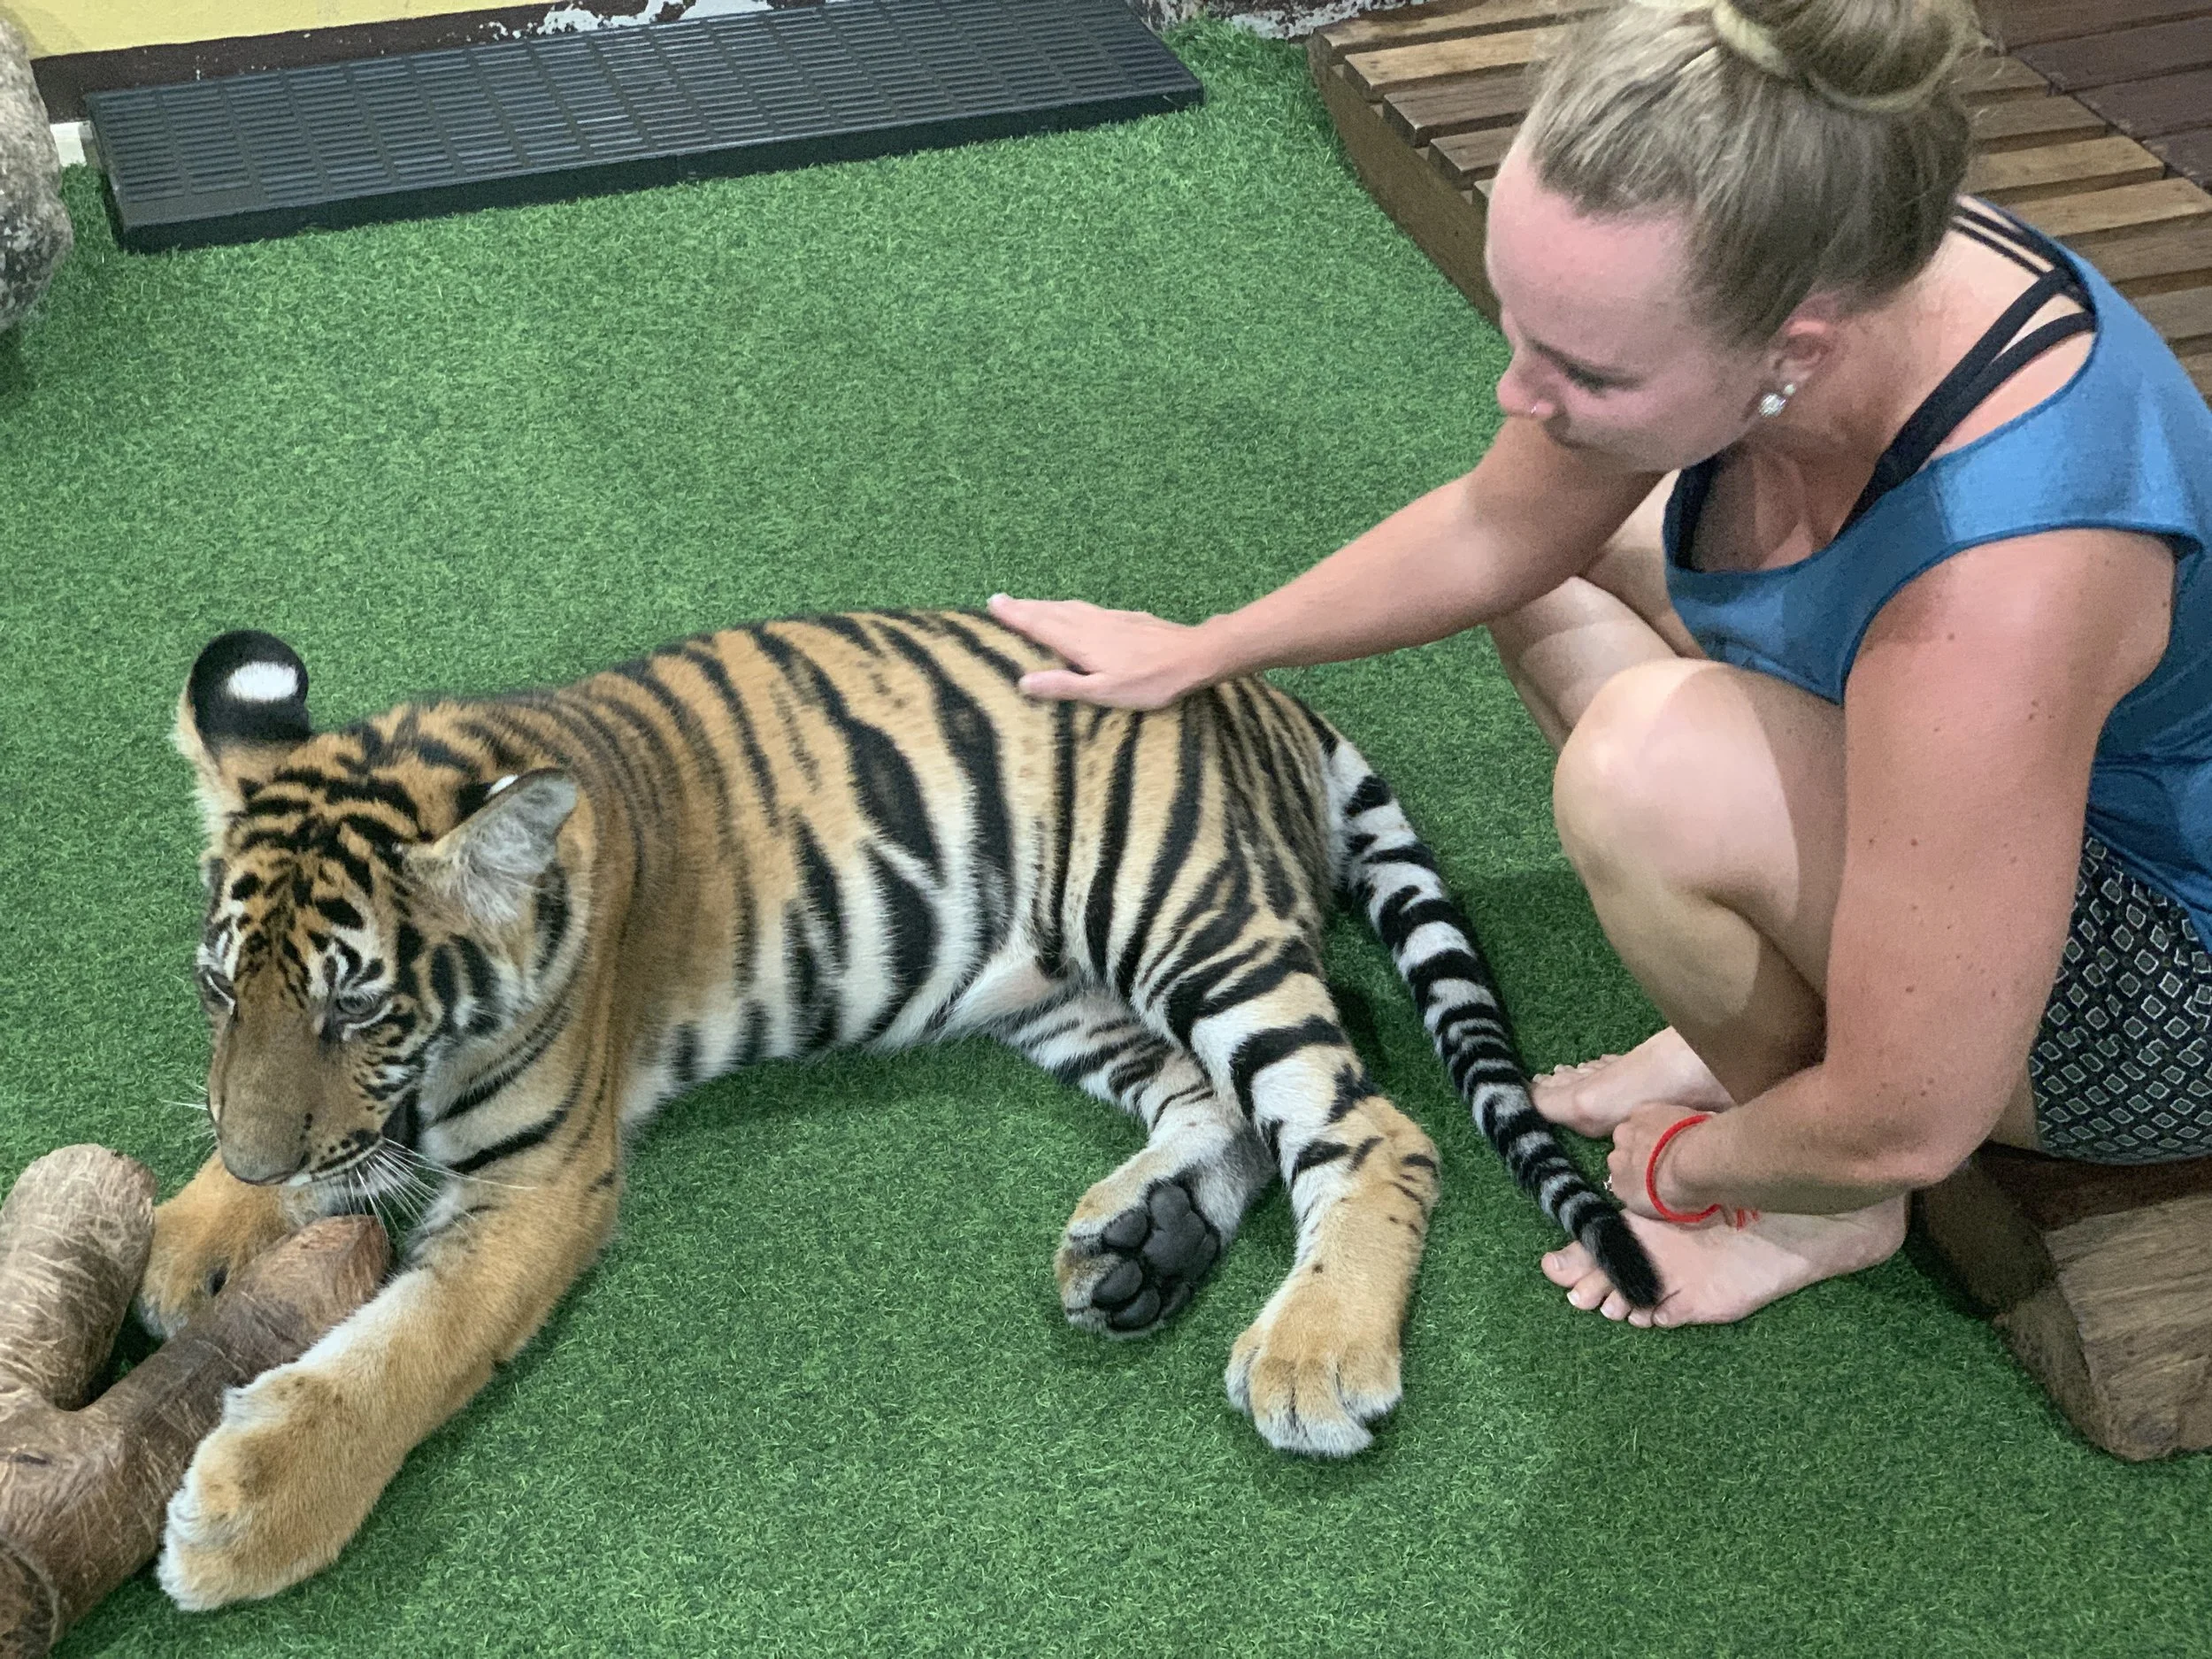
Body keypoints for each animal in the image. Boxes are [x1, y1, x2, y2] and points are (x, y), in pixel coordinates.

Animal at [138, 608, 1658, 1610]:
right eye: (219, 988)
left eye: (354, 1007)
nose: (253, 1158)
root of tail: (1263, 692)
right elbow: (298, 1164)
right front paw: (190, 1233)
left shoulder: (541, 1181)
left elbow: (409, 1346)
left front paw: (248, 1512)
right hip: (1062, 990)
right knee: (1220, 1100)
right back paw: (1142, 1243)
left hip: (1182, 918)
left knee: (1368, 1121)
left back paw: (1315, 1348)